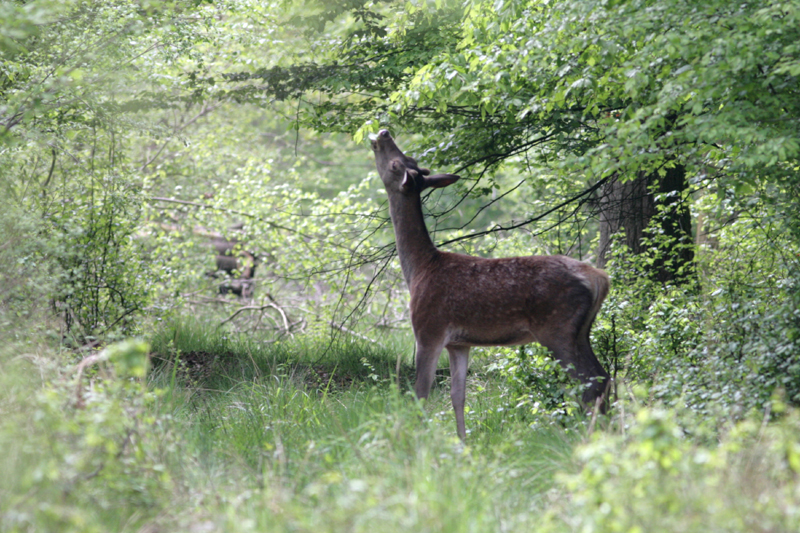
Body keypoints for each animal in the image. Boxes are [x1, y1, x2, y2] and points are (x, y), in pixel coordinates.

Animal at [372, 128, 608, 436]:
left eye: (396, 165)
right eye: (409, 159)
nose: (384, 132)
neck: (418, 270)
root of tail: (599, 278)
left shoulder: (428, 329)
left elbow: (420, 395)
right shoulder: (459, 343)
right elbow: (457, 396)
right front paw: (462, 442)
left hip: (557, 328)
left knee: (589, 384)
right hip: (580, 331)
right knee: (603, 377)